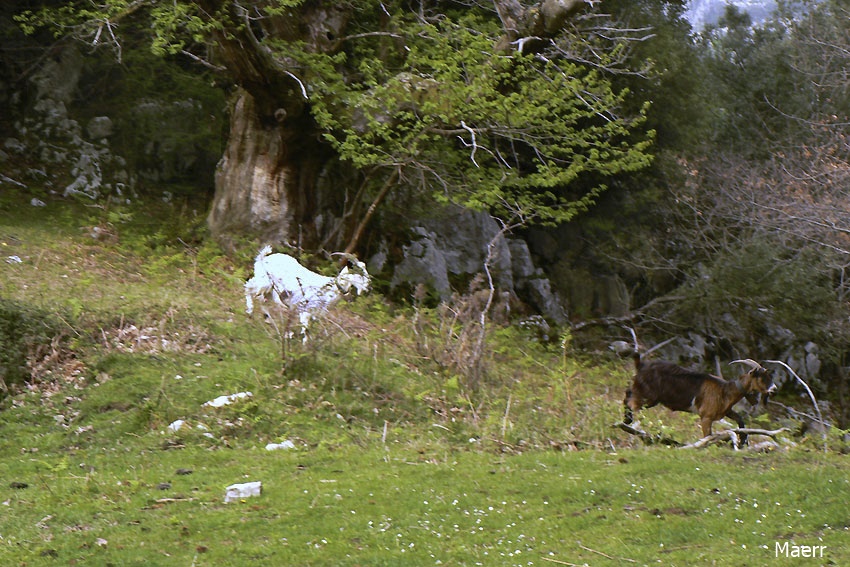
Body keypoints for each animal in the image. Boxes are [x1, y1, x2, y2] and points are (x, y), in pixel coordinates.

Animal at [624, 358, 776, 442]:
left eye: (770, 376)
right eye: (761, 377)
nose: (774, 389)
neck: (725, 390)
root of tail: (640, 365)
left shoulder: (725, 411)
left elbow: (740, 419)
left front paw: (743, 440)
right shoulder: (706, 416)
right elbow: (707, 436)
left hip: (647, 396)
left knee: (627, 396)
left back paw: (627, 422)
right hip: (647, 396)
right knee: (631, 403)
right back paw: (631, 425)